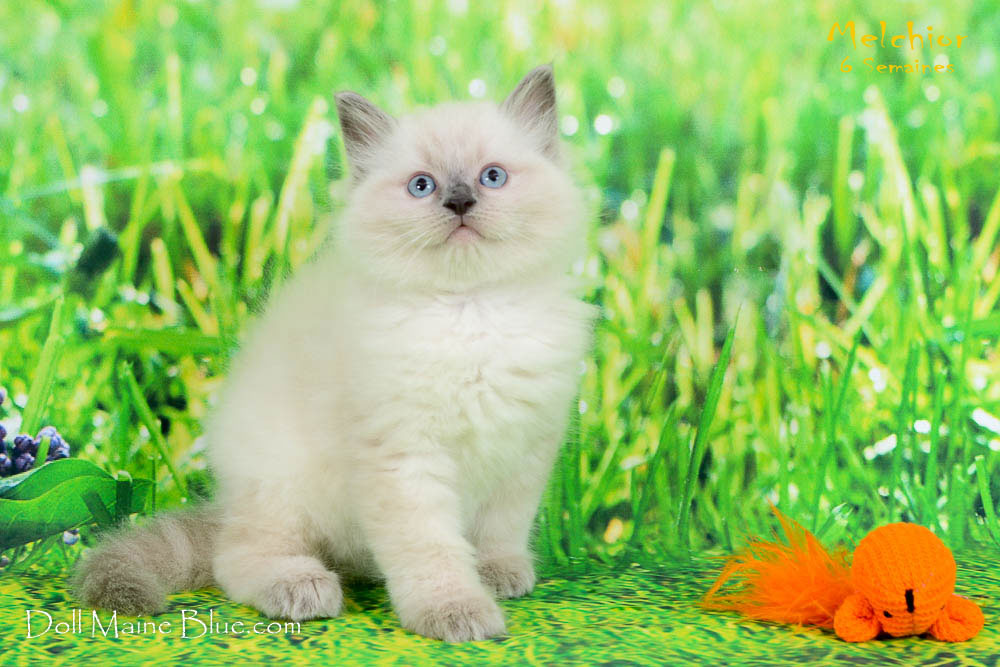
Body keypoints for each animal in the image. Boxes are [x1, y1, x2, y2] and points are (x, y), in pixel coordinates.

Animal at [74, 65, 596, 642]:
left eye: (493, 177)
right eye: (422, 186)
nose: (460, 203)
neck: (470, 312)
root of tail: (226, 507)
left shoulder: (524, 452)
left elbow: (501, 530)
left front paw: (498, 573)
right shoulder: (403, 460)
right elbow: (432, 551)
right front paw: (455, 612)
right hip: (283, 489)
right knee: (234, 558)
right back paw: (301, 587)